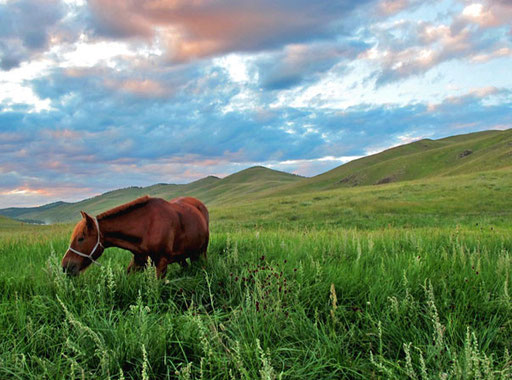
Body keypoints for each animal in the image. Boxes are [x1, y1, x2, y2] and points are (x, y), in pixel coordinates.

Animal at [61, 197, 209, 278]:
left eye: (81, 238)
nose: (65, 266)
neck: (146, 226)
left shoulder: (161, 263)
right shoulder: (138, 260)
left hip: (202, 251)